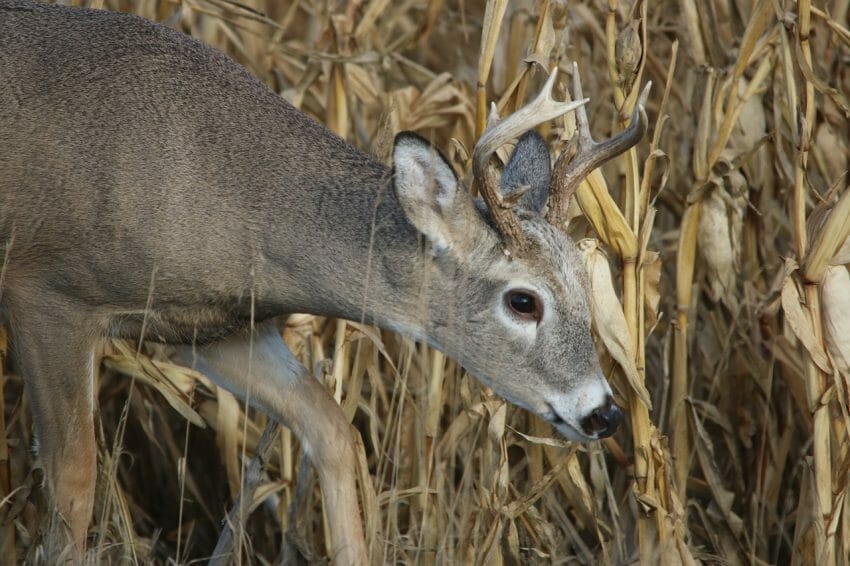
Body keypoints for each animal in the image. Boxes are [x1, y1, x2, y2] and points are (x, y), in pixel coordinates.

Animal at [1, 0, 648, 564]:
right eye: (522, 301)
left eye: (587, 284)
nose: (604, 413)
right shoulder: (47, 293)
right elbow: (74, 483)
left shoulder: (215, 328)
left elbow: (334, 431)